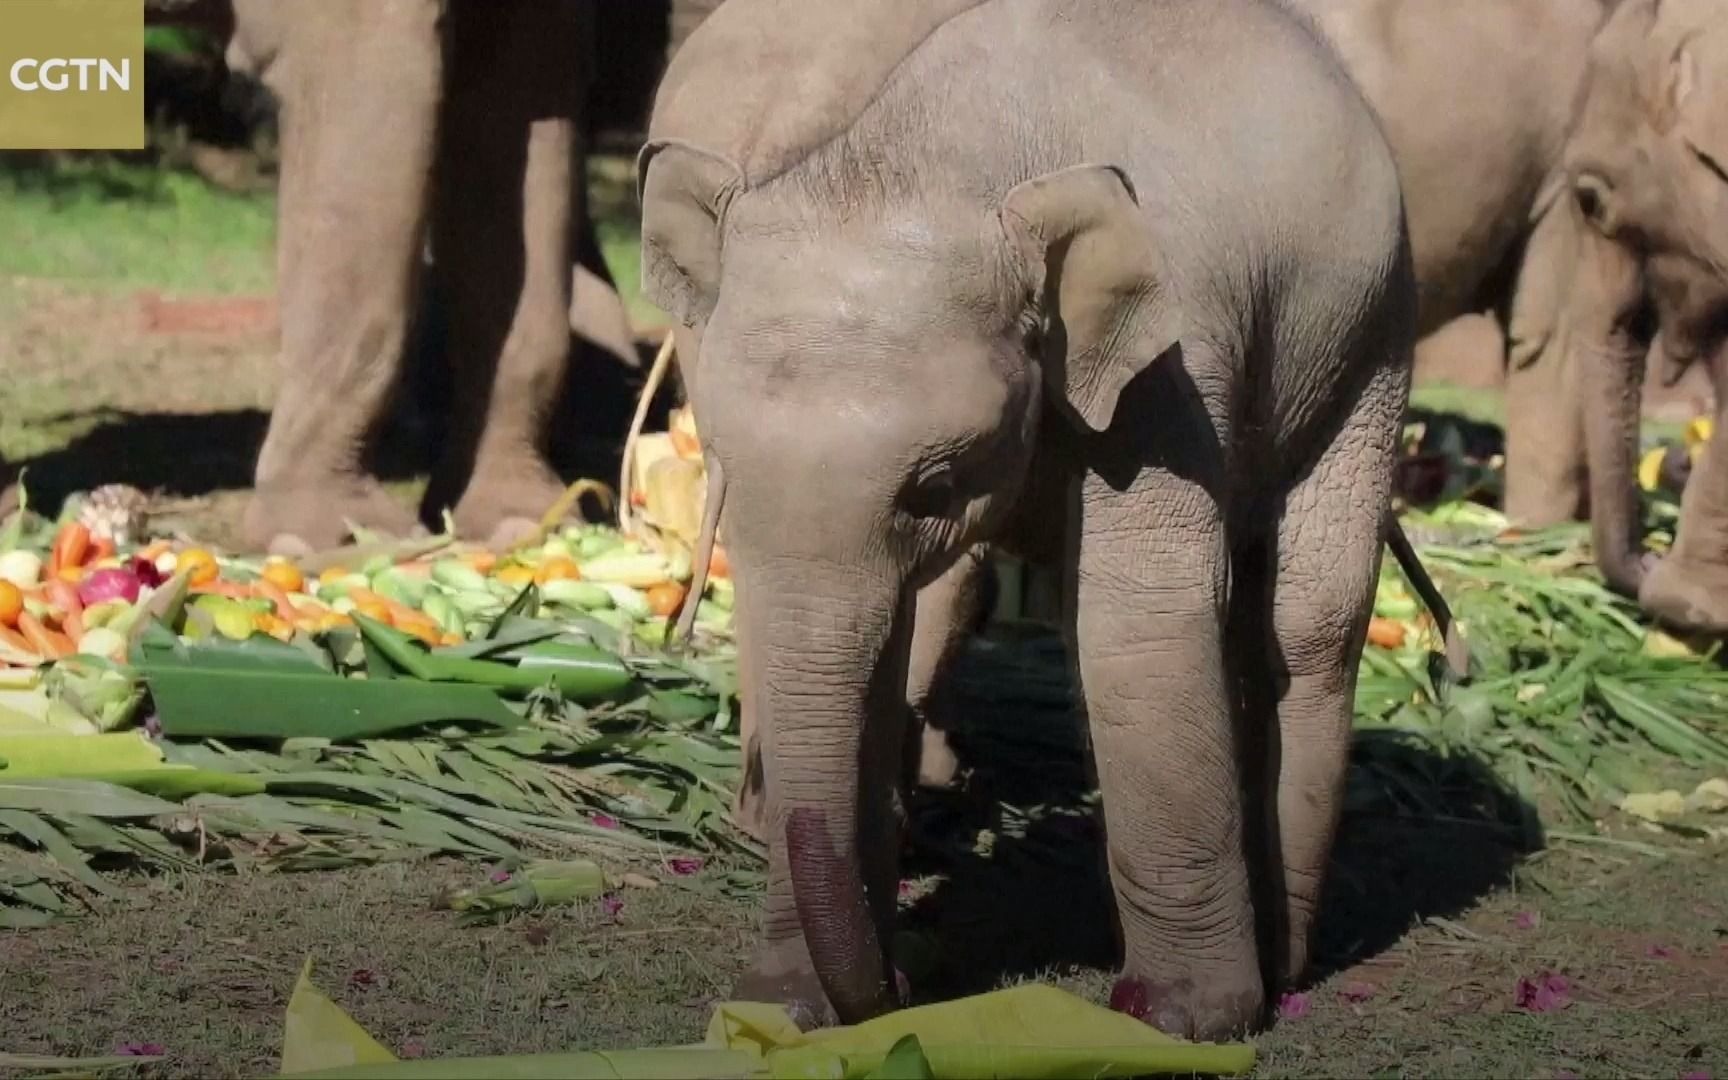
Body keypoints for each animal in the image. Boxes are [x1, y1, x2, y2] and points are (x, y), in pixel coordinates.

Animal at [646, 0, 1416, 1043]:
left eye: (934, 484)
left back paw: (1286, 959)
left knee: (1305, 621)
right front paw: (782, 1009)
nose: (892, 989)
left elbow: (1141, 619)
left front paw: (1176, 1021)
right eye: (725, 465)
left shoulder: (1171, 363)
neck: (929, 154)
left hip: (1372, 338)